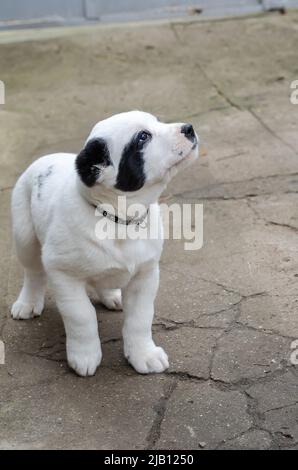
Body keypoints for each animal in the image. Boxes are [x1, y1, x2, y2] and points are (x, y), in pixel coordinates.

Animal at [10, 109, 199, 374]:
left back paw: (112, 295)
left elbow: (140, 318)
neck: (118, 218)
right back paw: (27, 303)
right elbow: (81, 315)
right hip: (24, 235)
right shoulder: (63, 274)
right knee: (33, 272)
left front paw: (143, 354)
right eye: (143, 137)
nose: (189, 128)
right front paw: (85, 355)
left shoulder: (146, 274)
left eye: (157, 122)